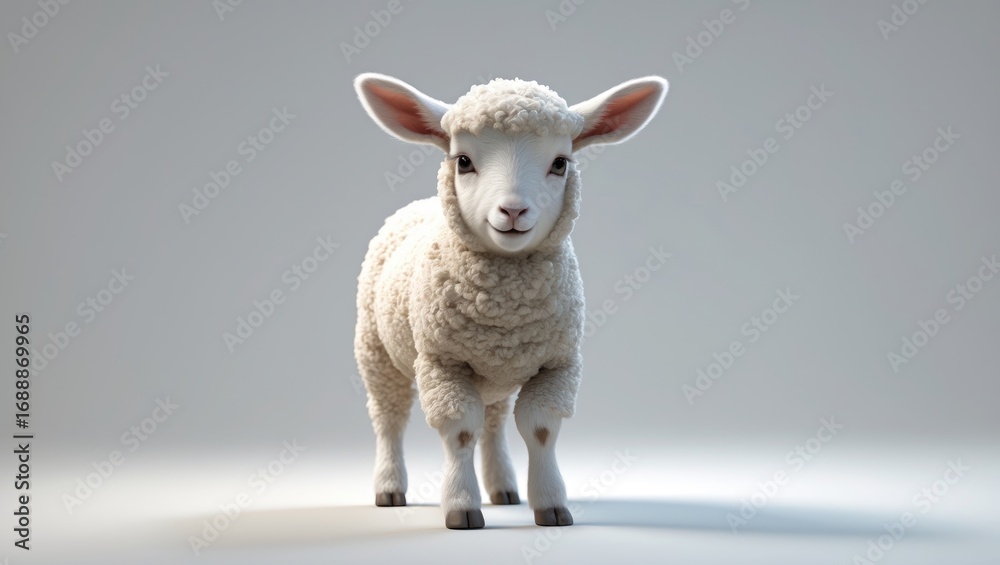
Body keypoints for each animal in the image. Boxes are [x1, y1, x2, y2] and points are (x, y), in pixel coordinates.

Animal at [353, 72, 668, 529]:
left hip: (494, 376)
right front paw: (461, 507)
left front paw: (551, 505)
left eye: (560, 163)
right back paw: (390, 487)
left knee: (494, 422)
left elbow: (539, 429)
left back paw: (502, 487)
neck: (508, 310)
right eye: (463, 161)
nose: (514, 211)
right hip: (376, 350)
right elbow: (459, 429)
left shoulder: (559, 364)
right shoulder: (442, 362)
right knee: (389, 417)